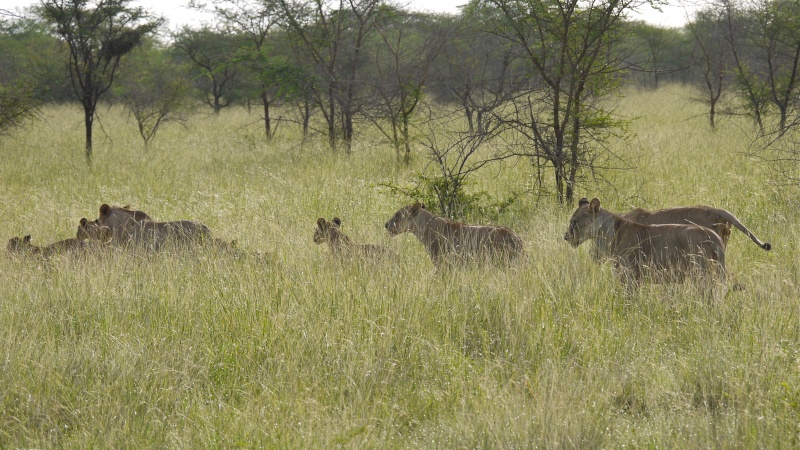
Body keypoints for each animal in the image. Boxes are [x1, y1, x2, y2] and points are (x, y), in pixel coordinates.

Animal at [564, 198, 728, 292]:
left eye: (575, 222)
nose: (565, 237)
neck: (607, 234)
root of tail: (713, 236)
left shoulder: (630, 276)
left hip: (700, 273)